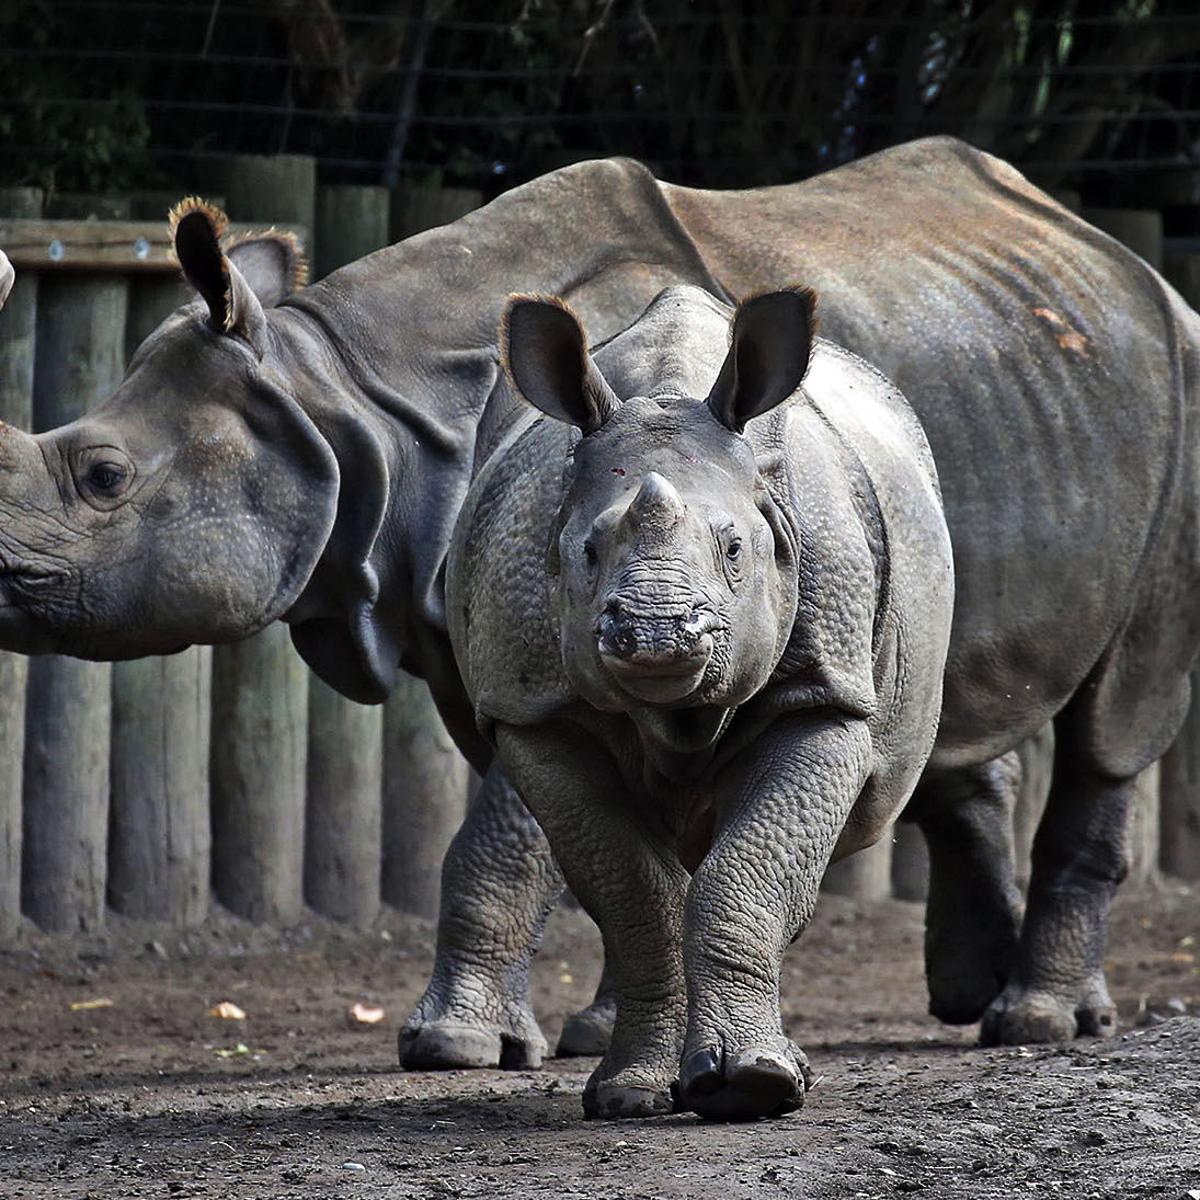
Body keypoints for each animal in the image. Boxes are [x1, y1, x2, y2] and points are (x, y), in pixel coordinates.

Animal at [448, 284, 954, 1119]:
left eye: (736, 551)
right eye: (587, 552)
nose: (656, 632)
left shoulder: (825, 693)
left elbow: (751, 867)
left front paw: (752, 1083)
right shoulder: (536, 713)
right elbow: (632, 894)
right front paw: (632, 1093)